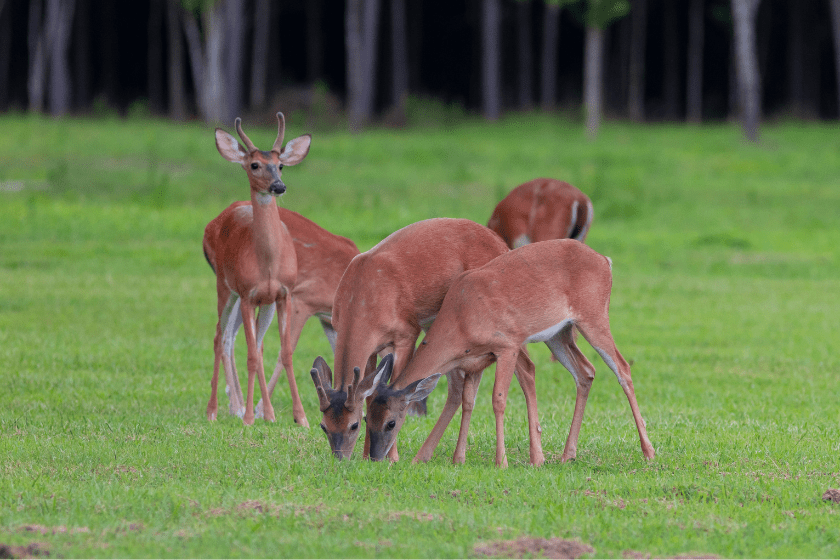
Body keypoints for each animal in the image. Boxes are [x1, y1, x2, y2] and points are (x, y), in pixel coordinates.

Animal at [205, 114, 314, 426]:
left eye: (280, 165)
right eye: (254, 164)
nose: (279, 186)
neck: (267, 264)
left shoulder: (283, 294)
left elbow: (284, 352)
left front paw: (300, 417)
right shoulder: (247, 293)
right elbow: (251, 356)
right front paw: (248, 418)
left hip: (264, 304)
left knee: (258, 345)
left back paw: (269, 412)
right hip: (224, 288)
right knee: (220, 337)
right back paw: (214, 410)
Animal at [206, 203, 360, 422]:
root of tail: (208, 228)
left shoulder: (328, 320)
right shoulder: (302, 300)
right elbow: (284, 351)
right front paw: (262, 410)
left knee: (231, 337)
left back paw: (236, 406)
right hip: (233, 288)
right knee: (225, 335)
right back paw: (235, 408)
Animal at [306, 219, 540, 464]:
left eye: (353, 425)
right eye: (323, 426)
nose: (340, 458)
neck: (362, 301)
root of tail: (500, 242)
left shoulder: (407, 333)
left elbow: (399, 391)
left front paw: (393, 458)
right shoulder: (371, 349)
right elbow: (370, 396)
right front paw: (366, 455)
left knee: (527, 368)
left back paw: (536, 457)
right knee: (458, 385)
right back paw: (432, 455)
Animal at [366, 237, 656, 468]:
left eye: (391, 422)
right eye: (366, 417)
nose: (375, 457)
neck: (461, 318)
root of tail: (605, 260)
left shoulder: (507, 345)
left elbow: (498, 399)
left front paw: (501, 462)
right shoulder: (475, 361)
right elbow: (468, 401)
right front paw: (458, 459)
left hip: (594, 316)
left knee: (622, 368)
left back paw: (648, 451)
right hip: (559, 334)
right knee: (585, 371)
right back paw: (567, 455)